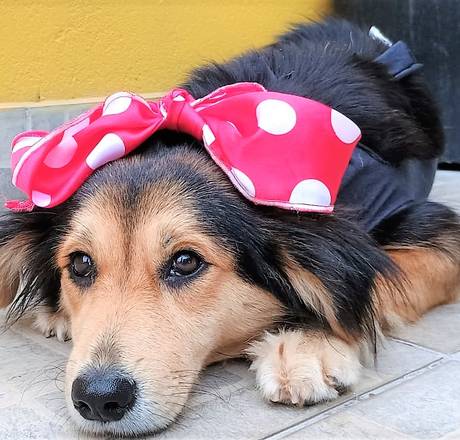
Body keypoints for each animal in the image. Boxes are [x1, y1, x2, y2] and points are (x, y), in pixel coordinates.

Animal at [1, 19, 459, 436]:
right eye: (80, 264)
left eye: (186, 262)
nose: (97, 397)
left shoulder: (435, 228)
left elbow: (372, 280)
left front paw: (307, 342)